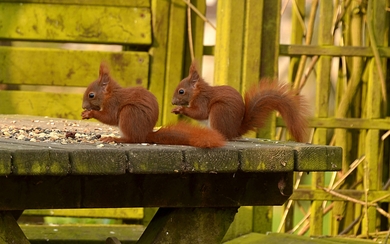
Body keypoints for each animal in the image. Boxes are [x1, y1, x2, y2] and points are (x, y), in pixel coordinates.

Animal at [80, 62, 224, 148]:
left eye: (91, 95)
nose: (83, 106)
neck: (109, 94)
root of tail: (145, 134)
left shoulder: (113, 104)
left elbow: (109, 117)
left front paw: (90, 113)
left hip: (129, 113)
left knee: (133, 139)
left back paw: (115, 139)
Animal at [172, 62, 310, 142]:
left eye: (181, 91)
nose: (173, 102)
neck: (197, 92)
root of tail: (234, 131)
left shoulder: (202, 101)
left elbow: (200, 113)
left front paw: (180, 109)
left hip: (219, 110)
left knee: (223, 135)